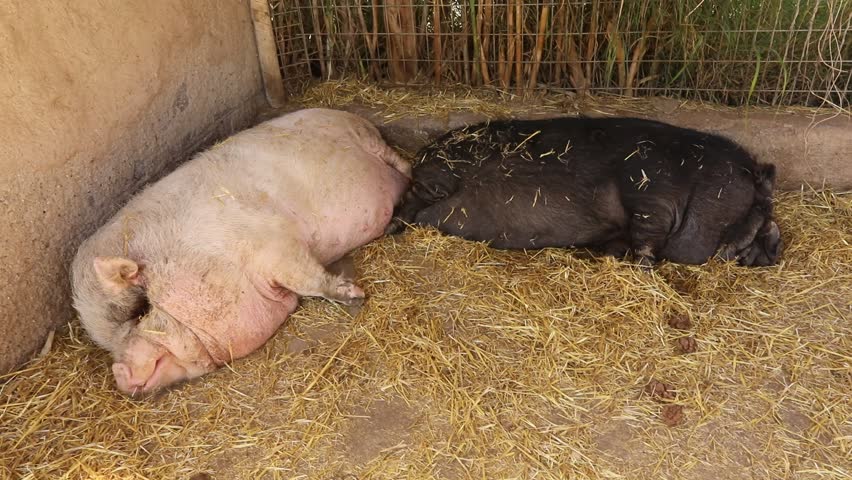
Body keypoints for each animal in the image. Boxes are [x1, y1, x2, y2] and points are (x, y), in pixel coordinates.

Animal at [71, 108, 410, 395]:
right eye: (106, 344)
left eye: (140, 310)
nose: (119, 373)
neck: (201, 253)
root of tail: (344, 112)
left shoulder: (275, 242)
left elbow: (308, 279)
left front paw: (356, 296)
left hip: (369, 141)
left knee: (403, 166)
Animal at [386, 116, 781, 267]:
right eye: (762, 206)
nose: (777, 246)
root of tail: (422, 154)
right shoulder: (650, 191)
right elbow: (647, 239)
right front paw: (640, 267)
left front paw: (615, 258)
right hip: (439, 176)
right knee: (413, 200)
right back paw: (391, 226)